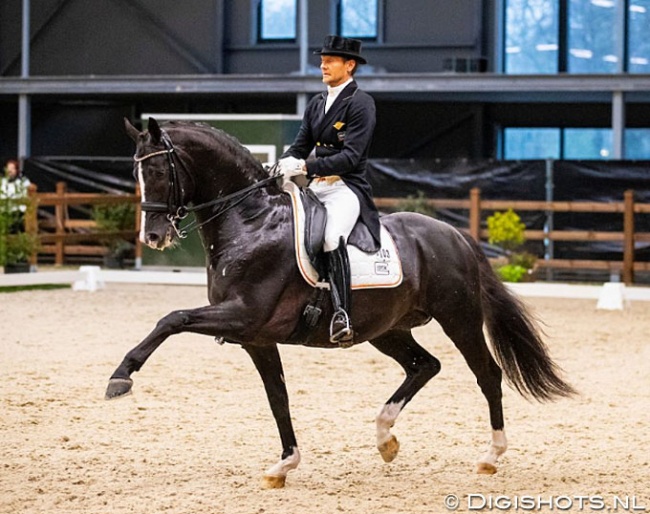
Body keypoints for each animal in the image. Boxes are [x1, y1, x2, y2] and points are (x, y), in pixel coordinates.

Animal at [106, 117, 572, 488]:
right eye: (136, 173)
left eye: (158, 170)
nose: (153, 237)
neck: (251, 224)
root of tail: (455, 234)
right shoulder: (256, 337)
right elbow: (278, 398)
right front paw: (284, 465)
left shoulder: (242, 315)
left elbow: (172, 318)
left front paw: (121, 376)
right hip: (386, 329)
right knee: (424, 365)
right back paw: (385, 439)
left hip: (459, 318)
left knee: (487, 374)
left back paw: (490, 456)